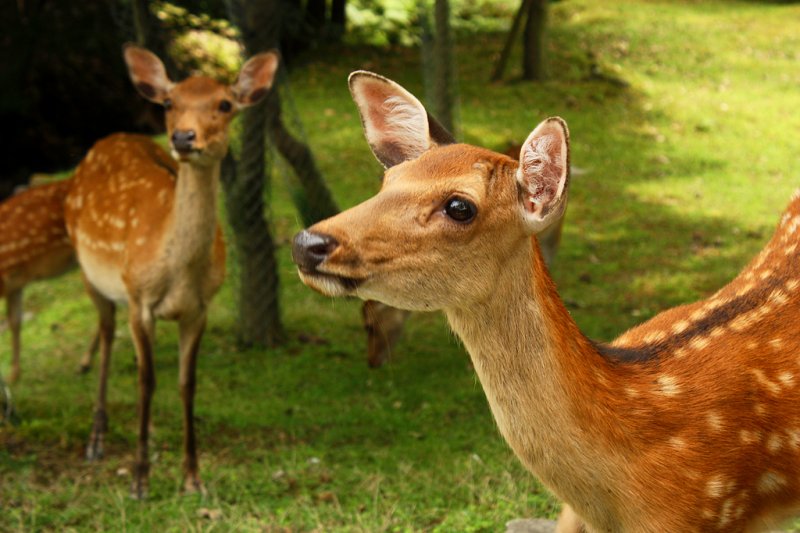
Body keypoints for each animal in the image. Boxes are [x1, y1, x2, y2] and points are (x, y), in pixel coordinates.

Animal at [61, 45, 278, 498]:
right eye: (168, 103)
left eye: (225, 104)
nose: (182, 137)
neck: (178, 270)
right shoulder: (139, 301)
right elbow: (147, 383)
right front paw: (140, 480)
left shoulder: (199, 309)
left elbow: (185, 382)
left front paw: (192, 477)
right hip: (91, 274)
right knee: (106, 336)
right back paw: (96, 439)